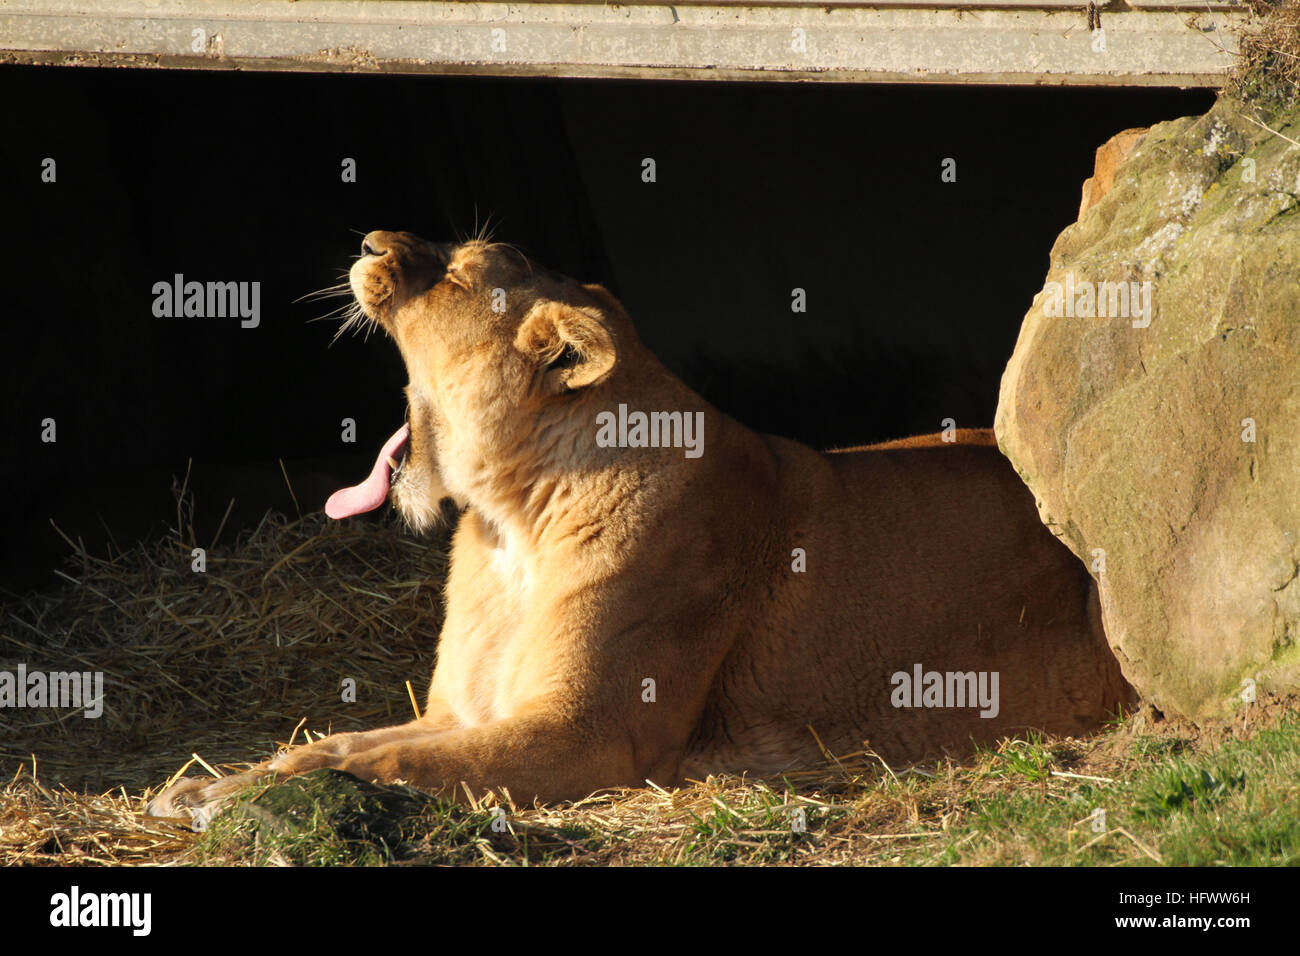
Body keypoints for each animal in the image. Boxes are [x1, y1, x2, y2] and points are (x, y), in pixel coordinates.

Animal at [150, 232, 1133, 823]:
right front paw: (207, 783)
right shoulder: (465, 711)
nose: (369, 243)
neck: (512, 526)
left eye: (461, 276)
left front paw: (233, 802)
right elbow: (338, 741)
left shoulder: (586, 735)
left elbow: (378, 765)